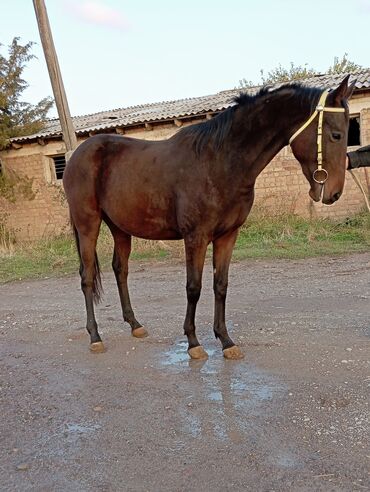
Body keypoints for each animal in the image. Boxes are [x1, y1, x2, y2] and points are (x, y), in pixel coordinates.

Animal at [62, 78, 354, 362]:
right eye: (336, 134)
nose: (334, 193)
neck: (220, 162)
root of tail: (77, 155)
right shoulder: (196, 237)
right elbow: (194, 287)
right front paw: (193, 343)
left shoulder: (228, 235)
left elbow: (220, 286)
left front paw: (226, 341)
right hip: (88, 225)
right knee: (87, 276)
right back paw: (95, 337)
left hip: (120, 228)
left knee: (120, 270)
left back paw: (135, 325)